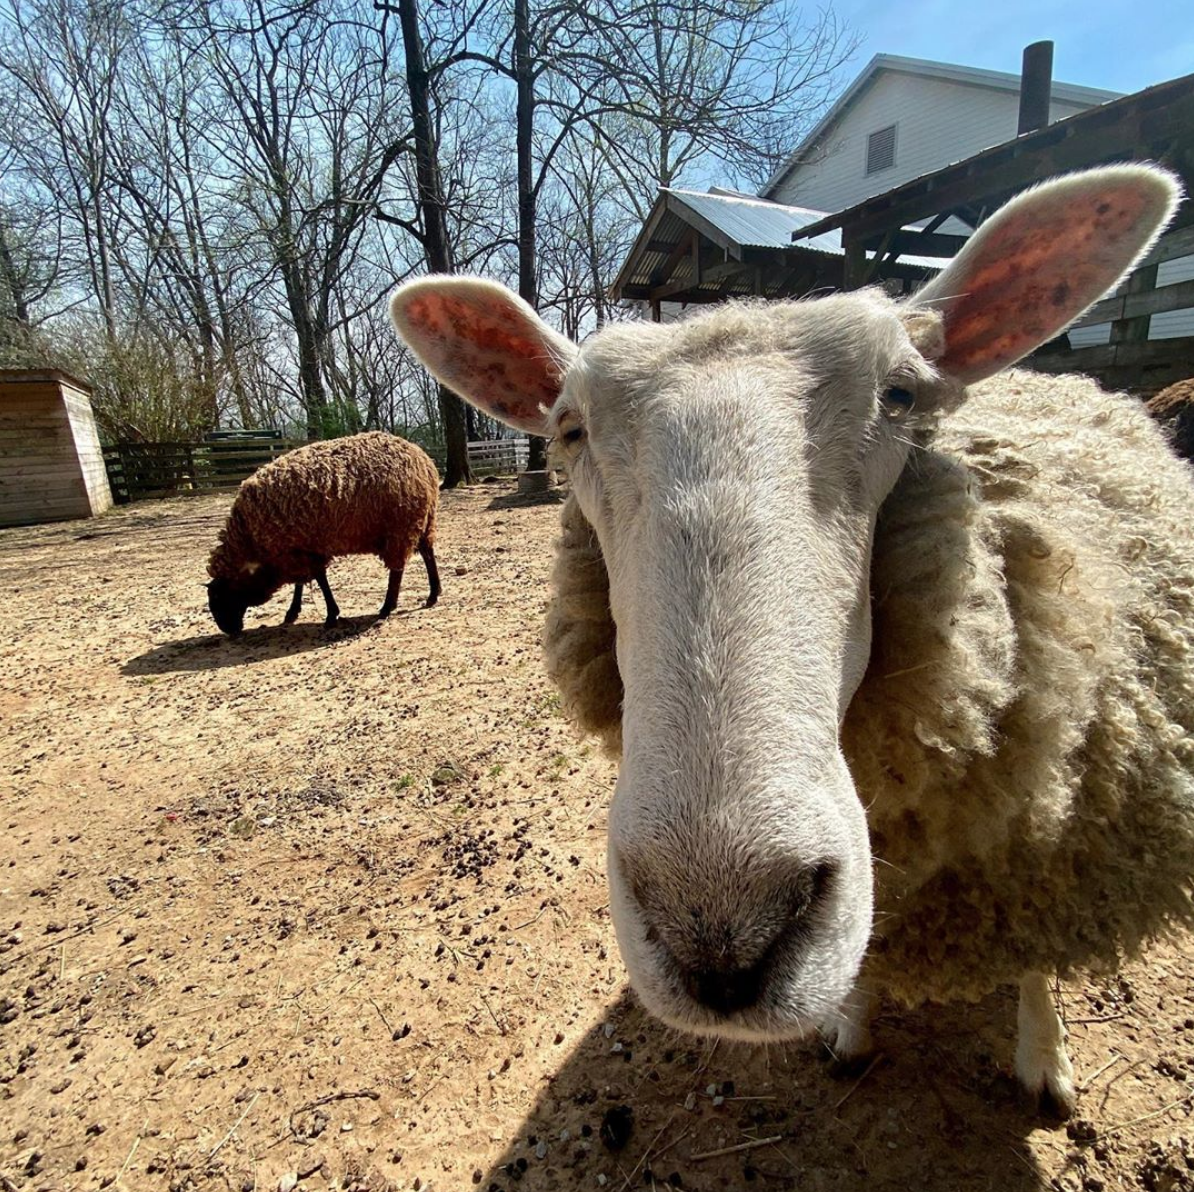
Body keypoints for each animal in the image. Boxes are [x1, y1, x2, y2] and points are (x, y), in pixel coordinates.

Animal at [207, 429, 441, 635]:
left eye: (221, 597)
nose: (229, 630)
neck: (250, 540)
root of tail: (423, 461)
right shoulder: (300, 549)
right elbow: (304, 581)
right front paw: (293, 613)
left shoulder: (298, 550)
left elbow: (318, 579)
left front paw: (329, 615)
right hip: (424, 520)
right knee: (427, 553)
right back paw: (433, 594)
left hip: (399, 527)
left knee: (397, 569)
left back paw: (387, 606)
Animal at [386, 163, 1189, 1113]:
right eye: (569, 428)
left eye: (900, 394)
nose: (721, 931)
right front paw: (851, 1025)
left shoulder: (1043, 834)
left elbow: (1032, 948)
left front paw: (1046, 1060)